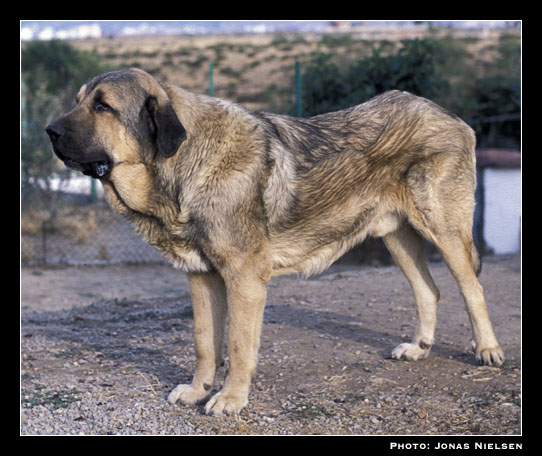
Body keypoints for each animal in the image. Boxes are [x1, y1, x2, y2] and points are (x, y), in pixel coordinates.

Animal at [46, 68, 506, 416]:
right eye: (79, 100)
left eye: (103, 106)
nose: (49, 131)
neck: (182, 165)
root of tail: (450, 116)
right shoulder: (201, 277)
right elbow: (204, 343)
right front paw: (198, 390)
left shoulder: (244, 279)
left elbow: (236, 344)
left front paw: (230, 398)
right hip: (396, 236)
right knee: (428, 290)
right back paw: (419, 347)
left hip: (444, 230)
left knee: (473, 289)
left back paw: (487, 350)